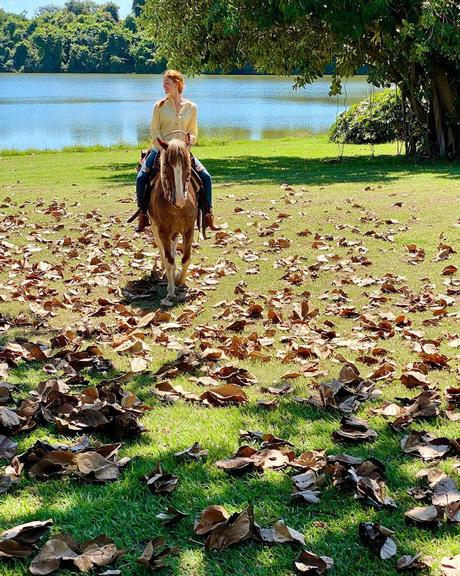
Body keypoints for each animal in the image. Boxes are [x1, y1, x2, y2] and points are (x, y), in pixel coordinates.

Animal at [147, 137, 198, 306]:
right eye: (167, 166)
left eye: (188, 164)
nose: (180, 200)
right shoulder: (163, 230)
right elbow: (168, 259)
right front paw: (170, 292)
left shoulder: (188, 229)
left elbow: (186, 258)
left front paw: (179, 280)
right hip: (155, 228)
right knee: (163, 252)